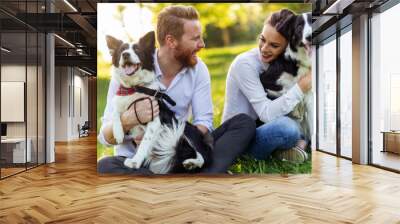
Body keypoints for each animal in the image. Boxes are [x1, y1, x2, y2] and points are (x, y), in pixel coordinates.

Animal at [105, 31, 212, 173]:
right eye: (122, 50)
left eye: (137, 50)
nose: (125, 54)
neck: (135, 87)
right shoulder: (120, 103)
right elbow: (114, 114)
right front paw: (118, 133)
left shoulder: (155, 120)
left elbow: (145, 142)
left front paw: (135, 162)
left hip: (184, 128)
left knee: (200, 156)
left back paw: (191, 163)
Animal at [260, 12, 314, 140]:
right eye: (299, 27)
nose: (309, 37)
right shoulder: (266, 79)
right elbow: (286, 90)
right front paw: (295, 108)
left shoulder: (310, 96)